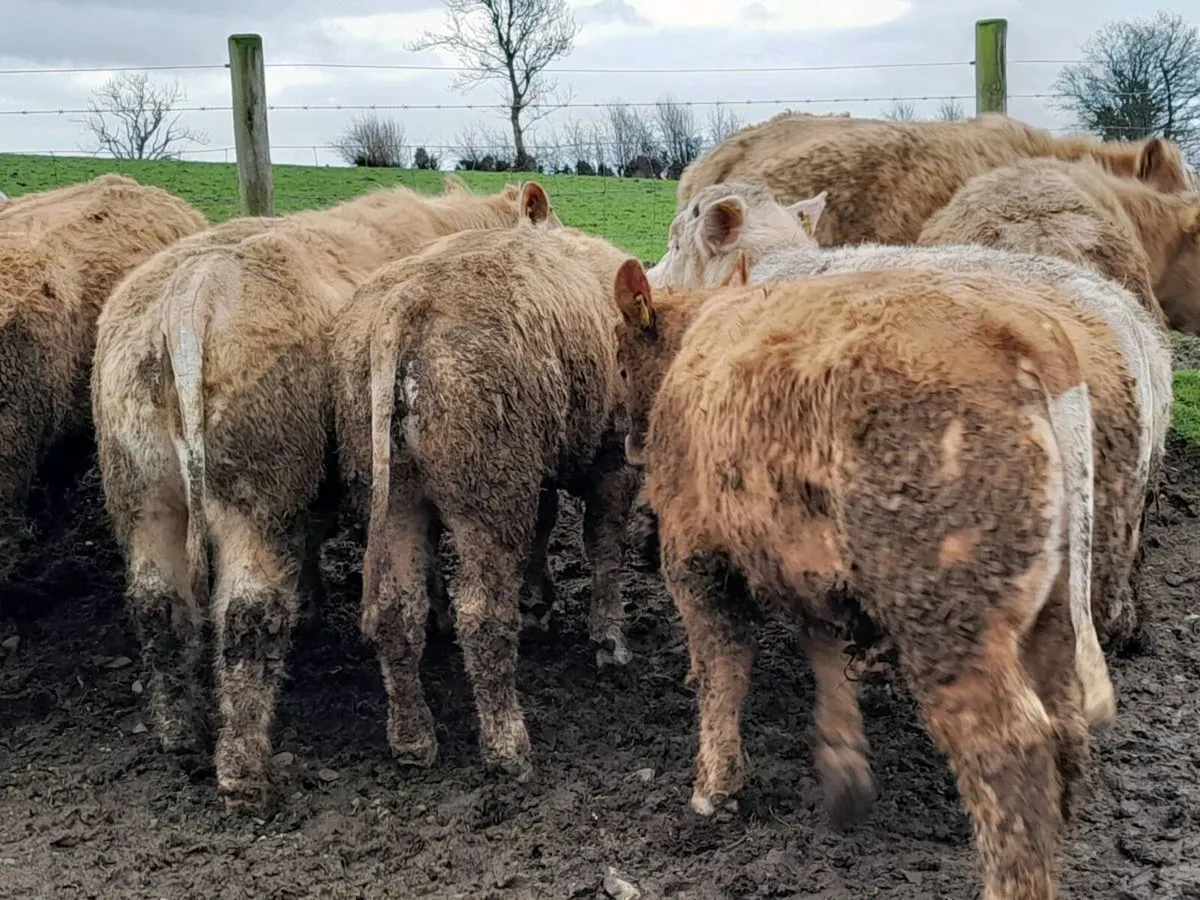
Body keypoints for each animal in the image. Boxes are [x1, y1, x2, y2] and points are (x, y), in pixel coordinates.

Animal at [91, 177, 559, 810]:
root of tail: (189, 296)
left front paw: (314, 603)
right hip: (256, 497)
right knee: (246, 614)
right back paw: (244, 768)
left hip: (143, 497)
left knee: (157, 606)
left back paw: (178, 731)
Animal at [331, 224, 641, 783]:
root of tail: (407, 300)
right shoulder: (611, 462)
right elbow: (604, 550)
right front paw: (609, 640)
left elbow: (546, 524)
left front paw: (538, 604)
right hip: (488, 497)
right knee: (481, 616)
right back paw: (507, 745)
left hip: (393, 497)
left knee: (396, 611)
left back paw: (412, 739)